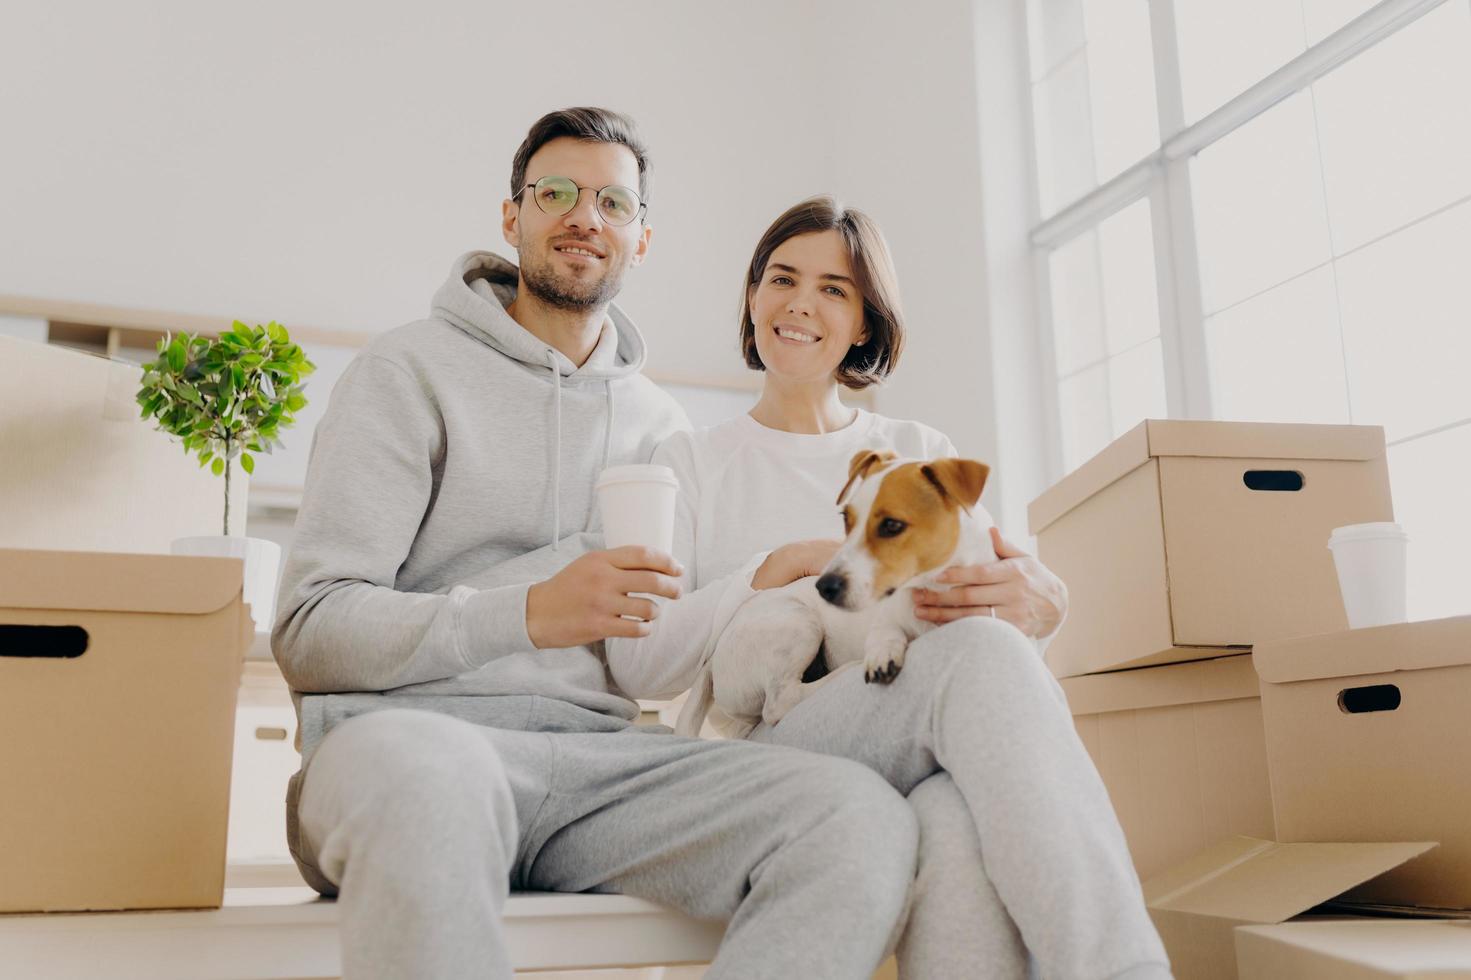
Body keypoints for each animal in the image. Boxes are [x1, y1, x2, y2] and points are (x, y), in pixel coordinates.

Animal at [676, 447, 1000, 735]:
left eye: (892, 525)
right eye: (846, 519)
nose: (824, 586)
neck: (930, 588)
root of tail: (714, 656)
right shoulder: (883, 619)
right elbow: (886, 631)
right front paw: (882, 652)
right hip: (798, 622)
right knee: (779, 701)